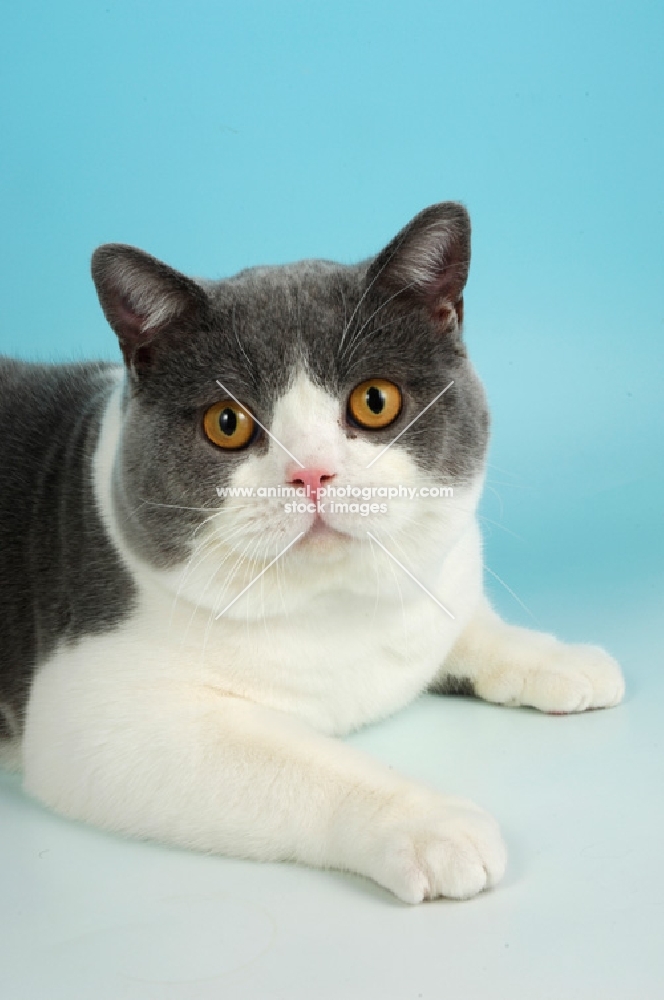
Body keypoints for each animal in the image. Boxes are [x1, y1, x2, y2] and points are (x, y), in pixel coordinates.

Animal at [0, 205, 624, 908]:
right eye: (227, 422)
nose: (312, 472)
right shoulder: (97, 718)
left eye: (375, 401)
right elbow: (309, 765)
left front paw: (558, 657)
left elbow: (465, 625)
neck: (333, 610)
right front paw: (432, 825)